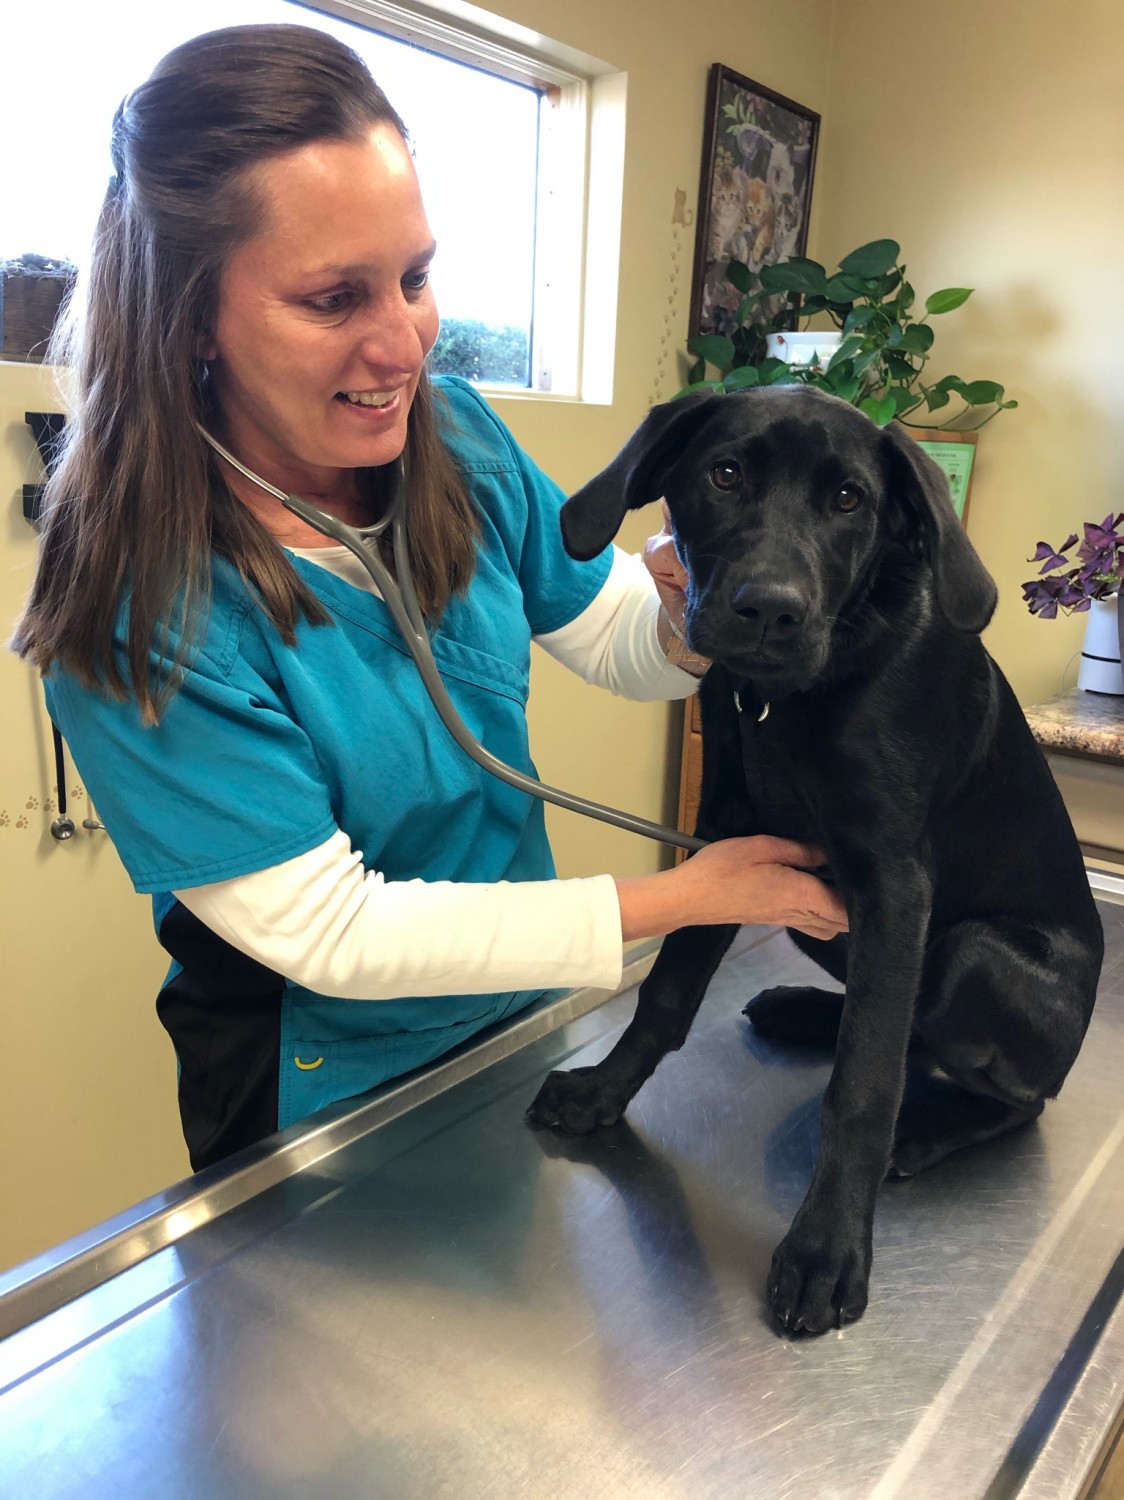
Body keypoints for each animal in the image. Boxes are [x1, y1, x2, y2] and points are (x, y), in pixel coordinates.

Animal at [528, 387, 1104, 1338]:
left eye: (848, 500)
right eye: (725, 474)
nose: (771, 610)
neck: (792, 697)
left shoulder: (895, 884)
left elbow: (864, 1084)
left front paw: (827, 1249)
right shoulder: (731, 837)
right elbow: (667, 993)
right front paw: (603, 1093)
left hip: (973, 956)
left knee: (1014, 1099)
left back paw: (926, 1130)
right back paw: (804, 1011)